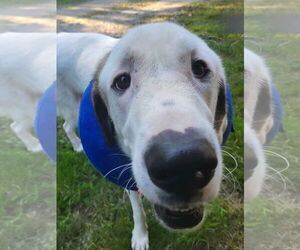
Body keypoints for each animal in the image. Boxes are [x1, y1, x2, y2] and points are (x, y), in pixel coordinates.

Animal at [57, 22, 229, 249]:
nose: (184, 163)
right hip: (71, 108)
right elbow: (137, 209)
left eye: (200, 68)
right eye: (122, 81)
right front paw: (140, 235)